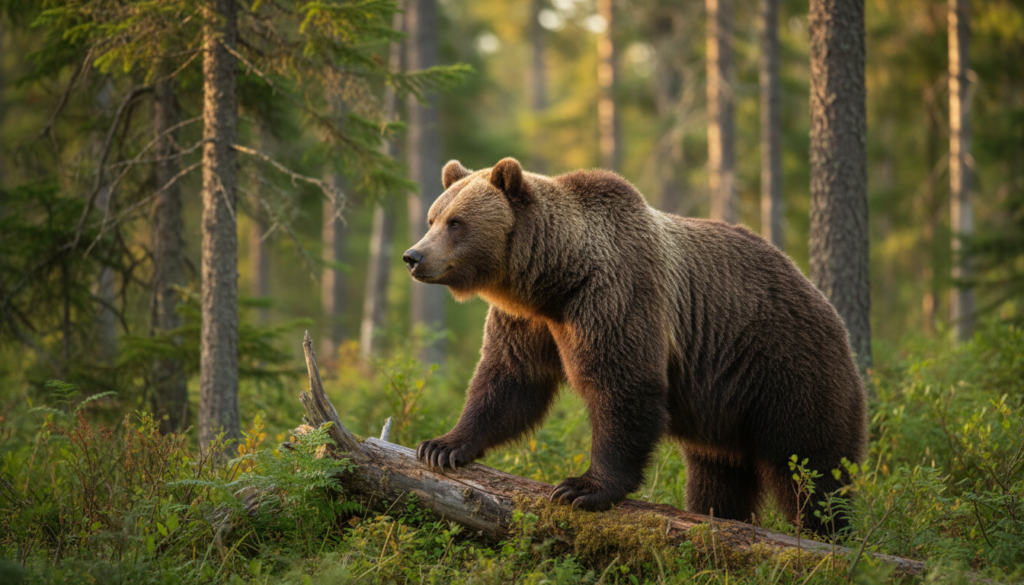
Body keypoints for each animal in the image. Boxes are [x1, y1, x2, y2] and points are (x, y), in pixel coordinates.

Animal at [402, 157, 867, 535]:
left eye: (456, 222)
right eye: (432, 218)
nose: (413, 256)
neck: (556, 280)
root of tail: (828, 306)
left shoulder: (616, 296)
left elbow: (622, 387)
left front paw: (581, 488)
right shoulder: (528, 321)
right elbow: (509, 381)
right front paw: (442, 446)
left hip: (787, 366)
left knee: (810, 463)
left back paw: (830, 534)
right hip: (725, 409)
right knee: (718, 475)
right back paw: (720, 517)